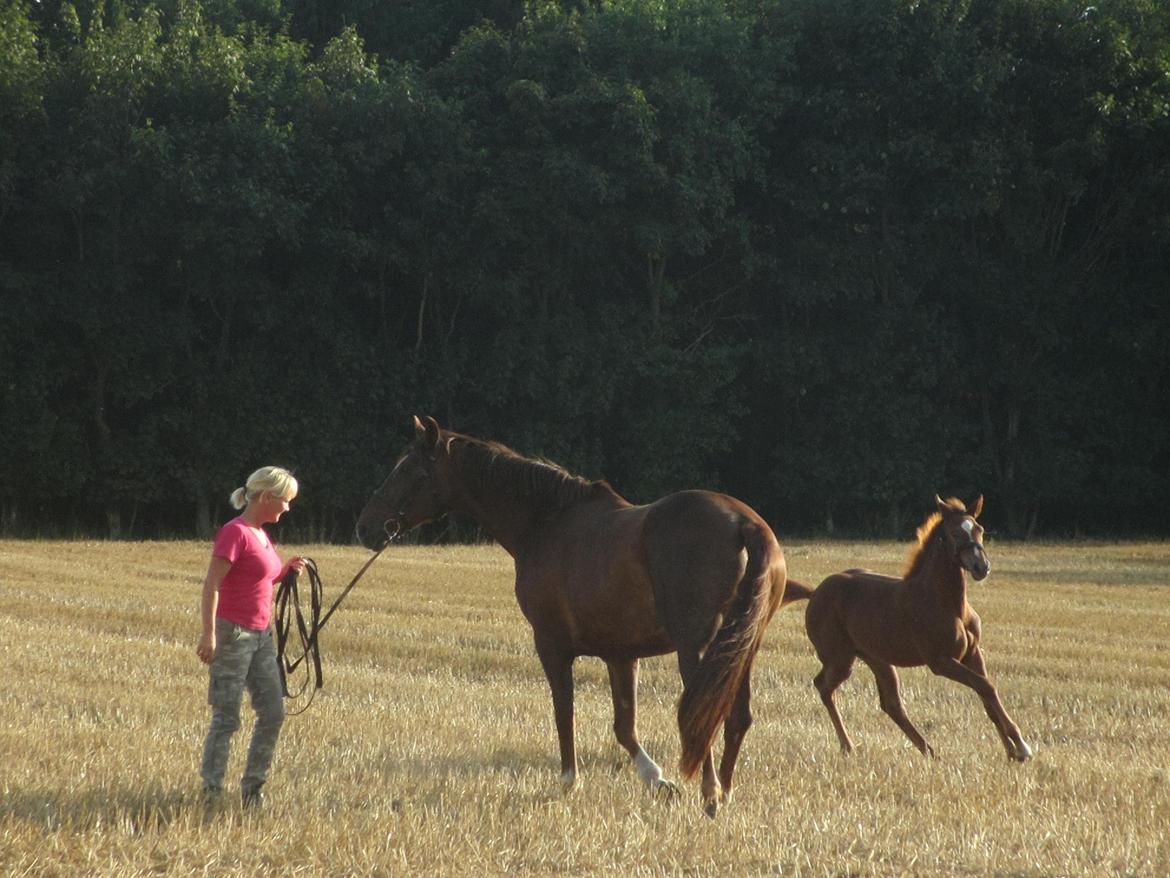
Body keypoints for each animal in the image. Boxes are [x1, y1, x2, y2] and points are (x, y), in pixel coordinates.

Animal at [355, 416, 814, 814]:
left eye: (407, 470)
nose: (365, 527)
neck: (546, 522)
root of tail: (743, 524)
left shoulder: (551, 645)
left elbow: (565, 710)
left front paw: (569, 781)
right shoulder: (621, 655)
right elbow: (624, 725)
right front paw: (656, 780)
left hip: (699, 649)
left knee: (704, 715)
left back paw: (711, 793)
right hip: (741, 650)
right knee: (736, 717)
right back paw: (725, 791)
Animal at [795, 498, 1034, 767]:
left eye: (979, 529)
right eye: (954, 533)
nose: (981, 567)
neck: (947, 603)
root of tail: (815, 593)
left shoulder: (973, 653)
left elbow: (987, 695)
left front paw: (1012, 752)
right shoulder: (940, 661)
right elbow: (985, 686)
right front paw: (1022, 747)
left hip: (877, 659)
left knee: (891, 704)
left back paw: (929, 751)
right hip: (840, 659)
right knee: (824, 686)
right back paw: (848, 746)